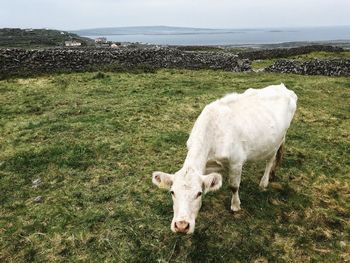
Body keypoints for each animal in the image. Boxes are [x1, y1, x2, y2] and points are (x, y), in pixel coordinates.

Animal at [152, 84, 296, 235]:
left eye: (198, 193)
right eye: (172, 192)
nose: (181, 226)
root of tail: (282, 86)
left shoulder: (236, 162)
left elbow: (234, 186)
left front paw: (235, 205)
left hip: (276, 141)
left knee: (270, 160)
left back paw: (264, 182)